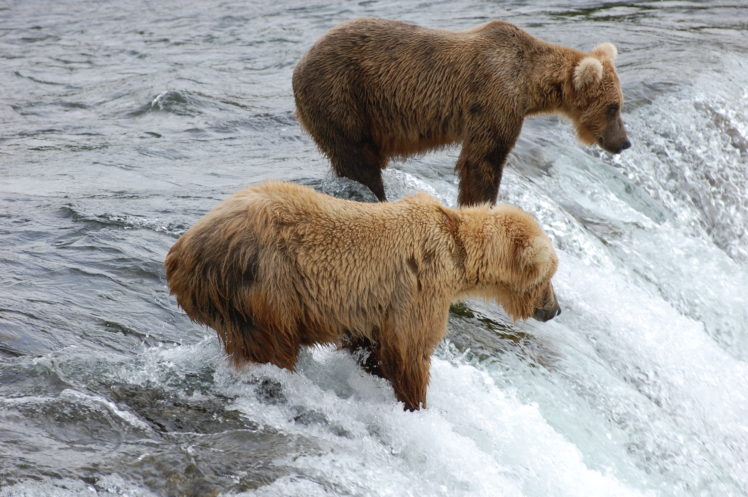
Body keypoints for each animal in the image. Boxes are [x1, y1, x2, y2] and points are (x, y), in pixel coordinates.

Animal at [164, 181, 560, 410]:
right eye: (550, 275)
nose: (555, 309)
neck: (457, 256)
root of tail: (181, 253)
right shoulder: (419, 288)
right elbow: (410, 352)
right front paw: (415, 403)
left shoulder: (373, 308)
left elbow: (373, 347)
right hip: (264, 284)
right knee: (271, 345)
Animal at [293, 17, 630, 206]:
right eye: (613, 107)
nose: (624, 142)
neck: (528, 81)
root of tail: (300, 63)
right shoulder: (494, 99)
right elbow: (484, 160)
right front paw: (480, 204)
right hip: (341, 95)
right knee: (358, 160)